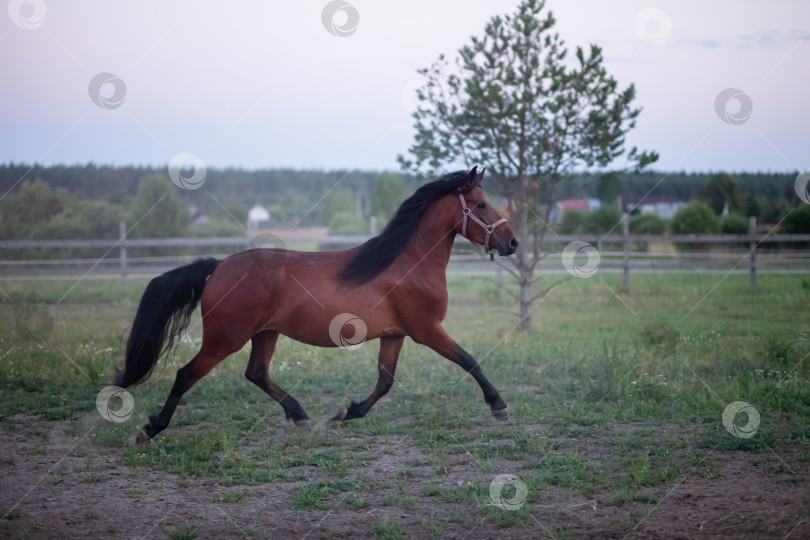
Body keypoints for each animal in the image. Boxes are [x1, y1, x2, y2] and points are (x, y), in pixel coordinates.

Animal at [115, 168, 516, 442]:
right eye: (481, 203)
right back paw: (149, 430)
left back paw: (301, 416)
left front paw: (345, 412)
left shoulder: (395, 335)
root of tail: (219, 266)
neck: (409, 262)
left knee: (256, 373)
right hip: (224, 338)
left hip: (265, 333)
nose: (512, 243)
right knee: (186, 375)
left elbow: (385, 382)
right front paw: (499, 406)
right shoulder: (426, 329)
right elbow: (469, 360)